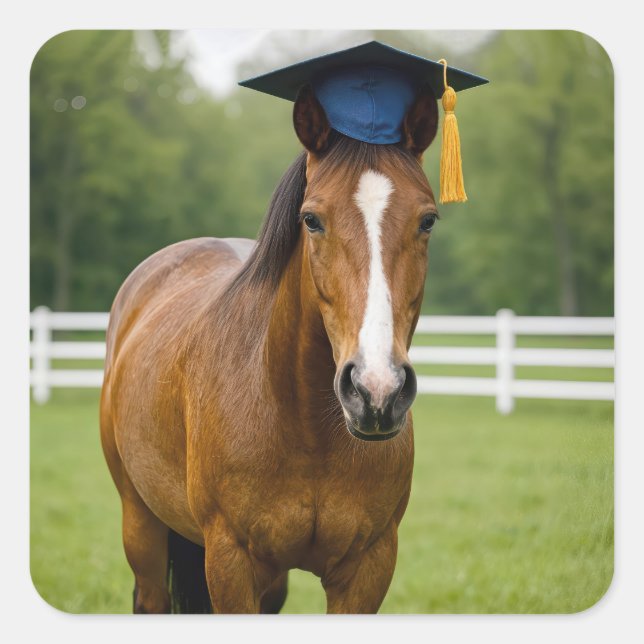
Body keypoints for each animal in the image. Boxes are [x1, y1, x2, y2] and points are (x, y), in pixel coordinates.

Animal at [99, 82, 440, 614]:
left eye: (427, 220)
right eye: (311, 219)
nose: (376, 391)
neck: (304, 423)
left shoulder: (368, 567)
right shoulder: (230, 560)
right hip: (141, 523)